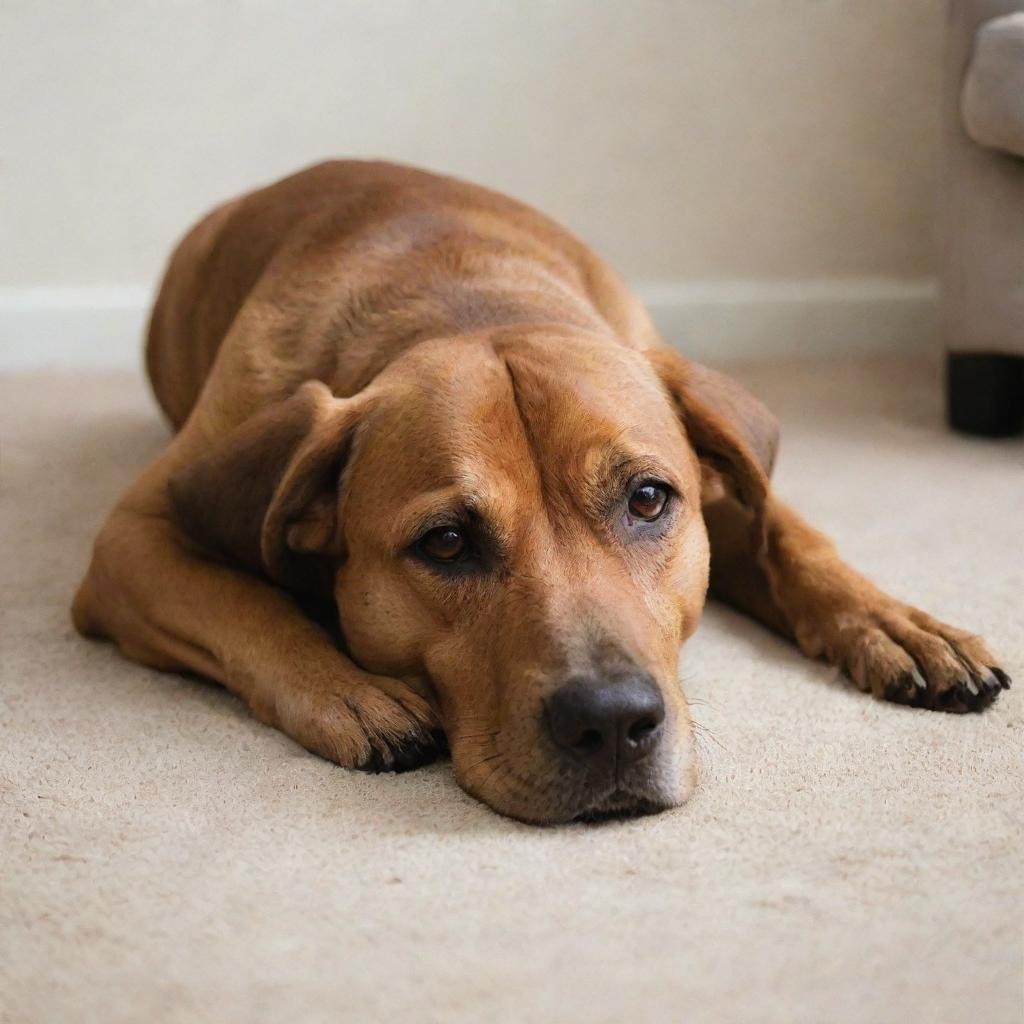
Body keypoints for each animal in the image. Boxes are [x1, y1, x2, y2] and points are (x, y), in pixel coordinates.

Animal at [70, 157, 1007, 823]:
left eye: (648, 501)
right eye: (446, 542)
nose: (613, 723)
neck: (467, 298)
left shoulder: (724, 492)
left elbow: (794, 540)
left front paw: (898, 623)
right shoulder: (133, 538)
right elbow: (245, 607)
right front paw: (350, 690)